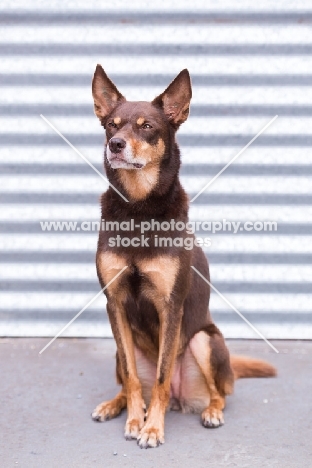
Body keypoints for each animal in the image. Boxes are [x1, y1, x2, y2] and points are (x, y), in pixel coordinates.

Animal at [90, 66, 276, 450]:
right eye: (112, 125)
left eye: (147, 126)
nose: (115, 145)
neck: (138, 210)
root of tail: (181, 399)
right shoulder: (114, 304)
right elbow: (132, 376)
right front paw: (135, 421)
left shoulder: (170, 306)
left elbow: (161, 377)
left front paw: (152, 429)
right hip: (119, 345)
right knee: (129, 380)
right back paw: (114, 405)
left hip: (206, 341)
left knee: (219, 393)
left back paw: (211, 412)